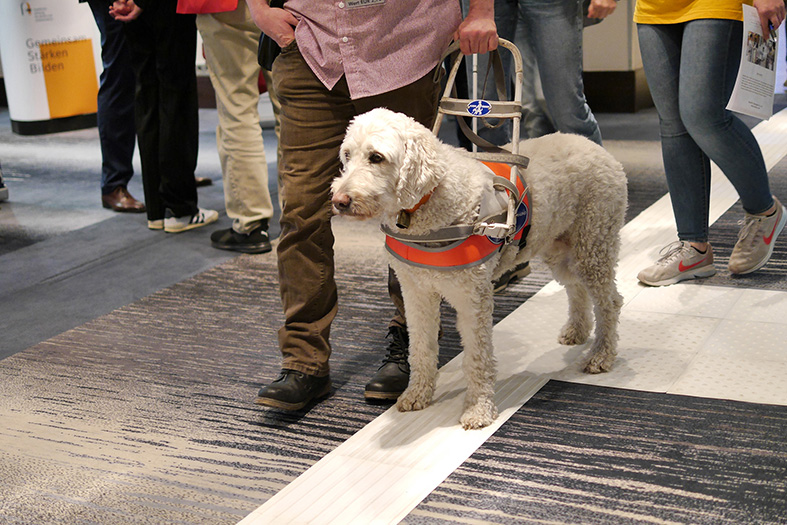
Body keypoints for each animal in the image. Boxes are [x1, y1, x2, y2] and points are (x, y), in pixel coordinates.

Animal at [330, 107, 628, 430]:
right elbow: (421, 347)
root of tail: (596, 147)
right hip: (559, 247)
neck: (431, 203)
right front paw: (417, 393)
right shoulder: (416, 291)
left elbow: (477, 357)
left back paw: (601, 355)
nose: (339, 201)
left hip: (594, 243)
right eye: (347, 155)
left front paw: (479, 409)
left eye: (376, 157)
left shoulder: (472, 296)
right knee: (576, 288)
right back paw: (577, 330)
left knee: (610, 302)